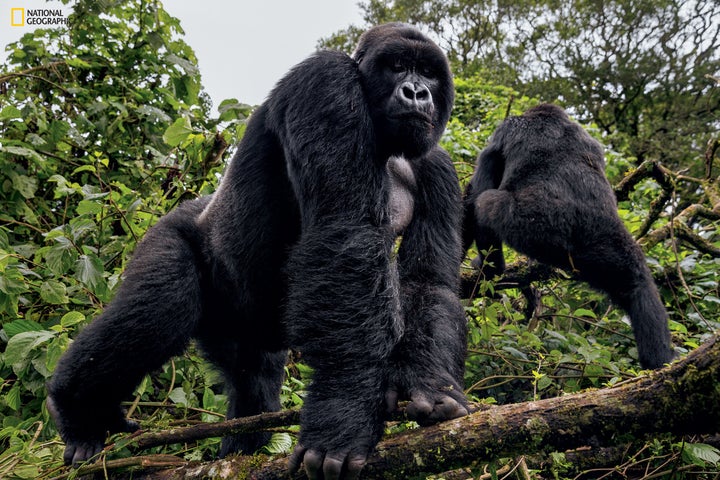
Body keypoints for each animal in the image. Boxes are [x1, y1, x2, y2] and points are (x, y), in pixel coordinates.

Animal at [46, 23, 472, 480]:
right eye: (396, 66)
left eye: (428, 72)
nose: (416, 92)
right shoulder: (325, 81)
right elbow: (346, 239)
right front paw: (342, 416)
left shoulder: (438, 167)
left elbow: (428, 282)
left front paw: (429, 384)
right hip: (170, 232)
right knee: (158, 312)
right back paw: (76, 410)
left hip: (241, 329)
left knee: (254, 381)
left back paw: (237, 451)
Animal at [464, 103, 676, 370]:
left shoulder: (502, 133)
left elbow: (476, 188)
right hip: (608, 245)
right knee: (638, 284)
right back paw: (660, 362)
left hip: (528, 224)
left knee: (484, 202)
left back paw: (491, 269)